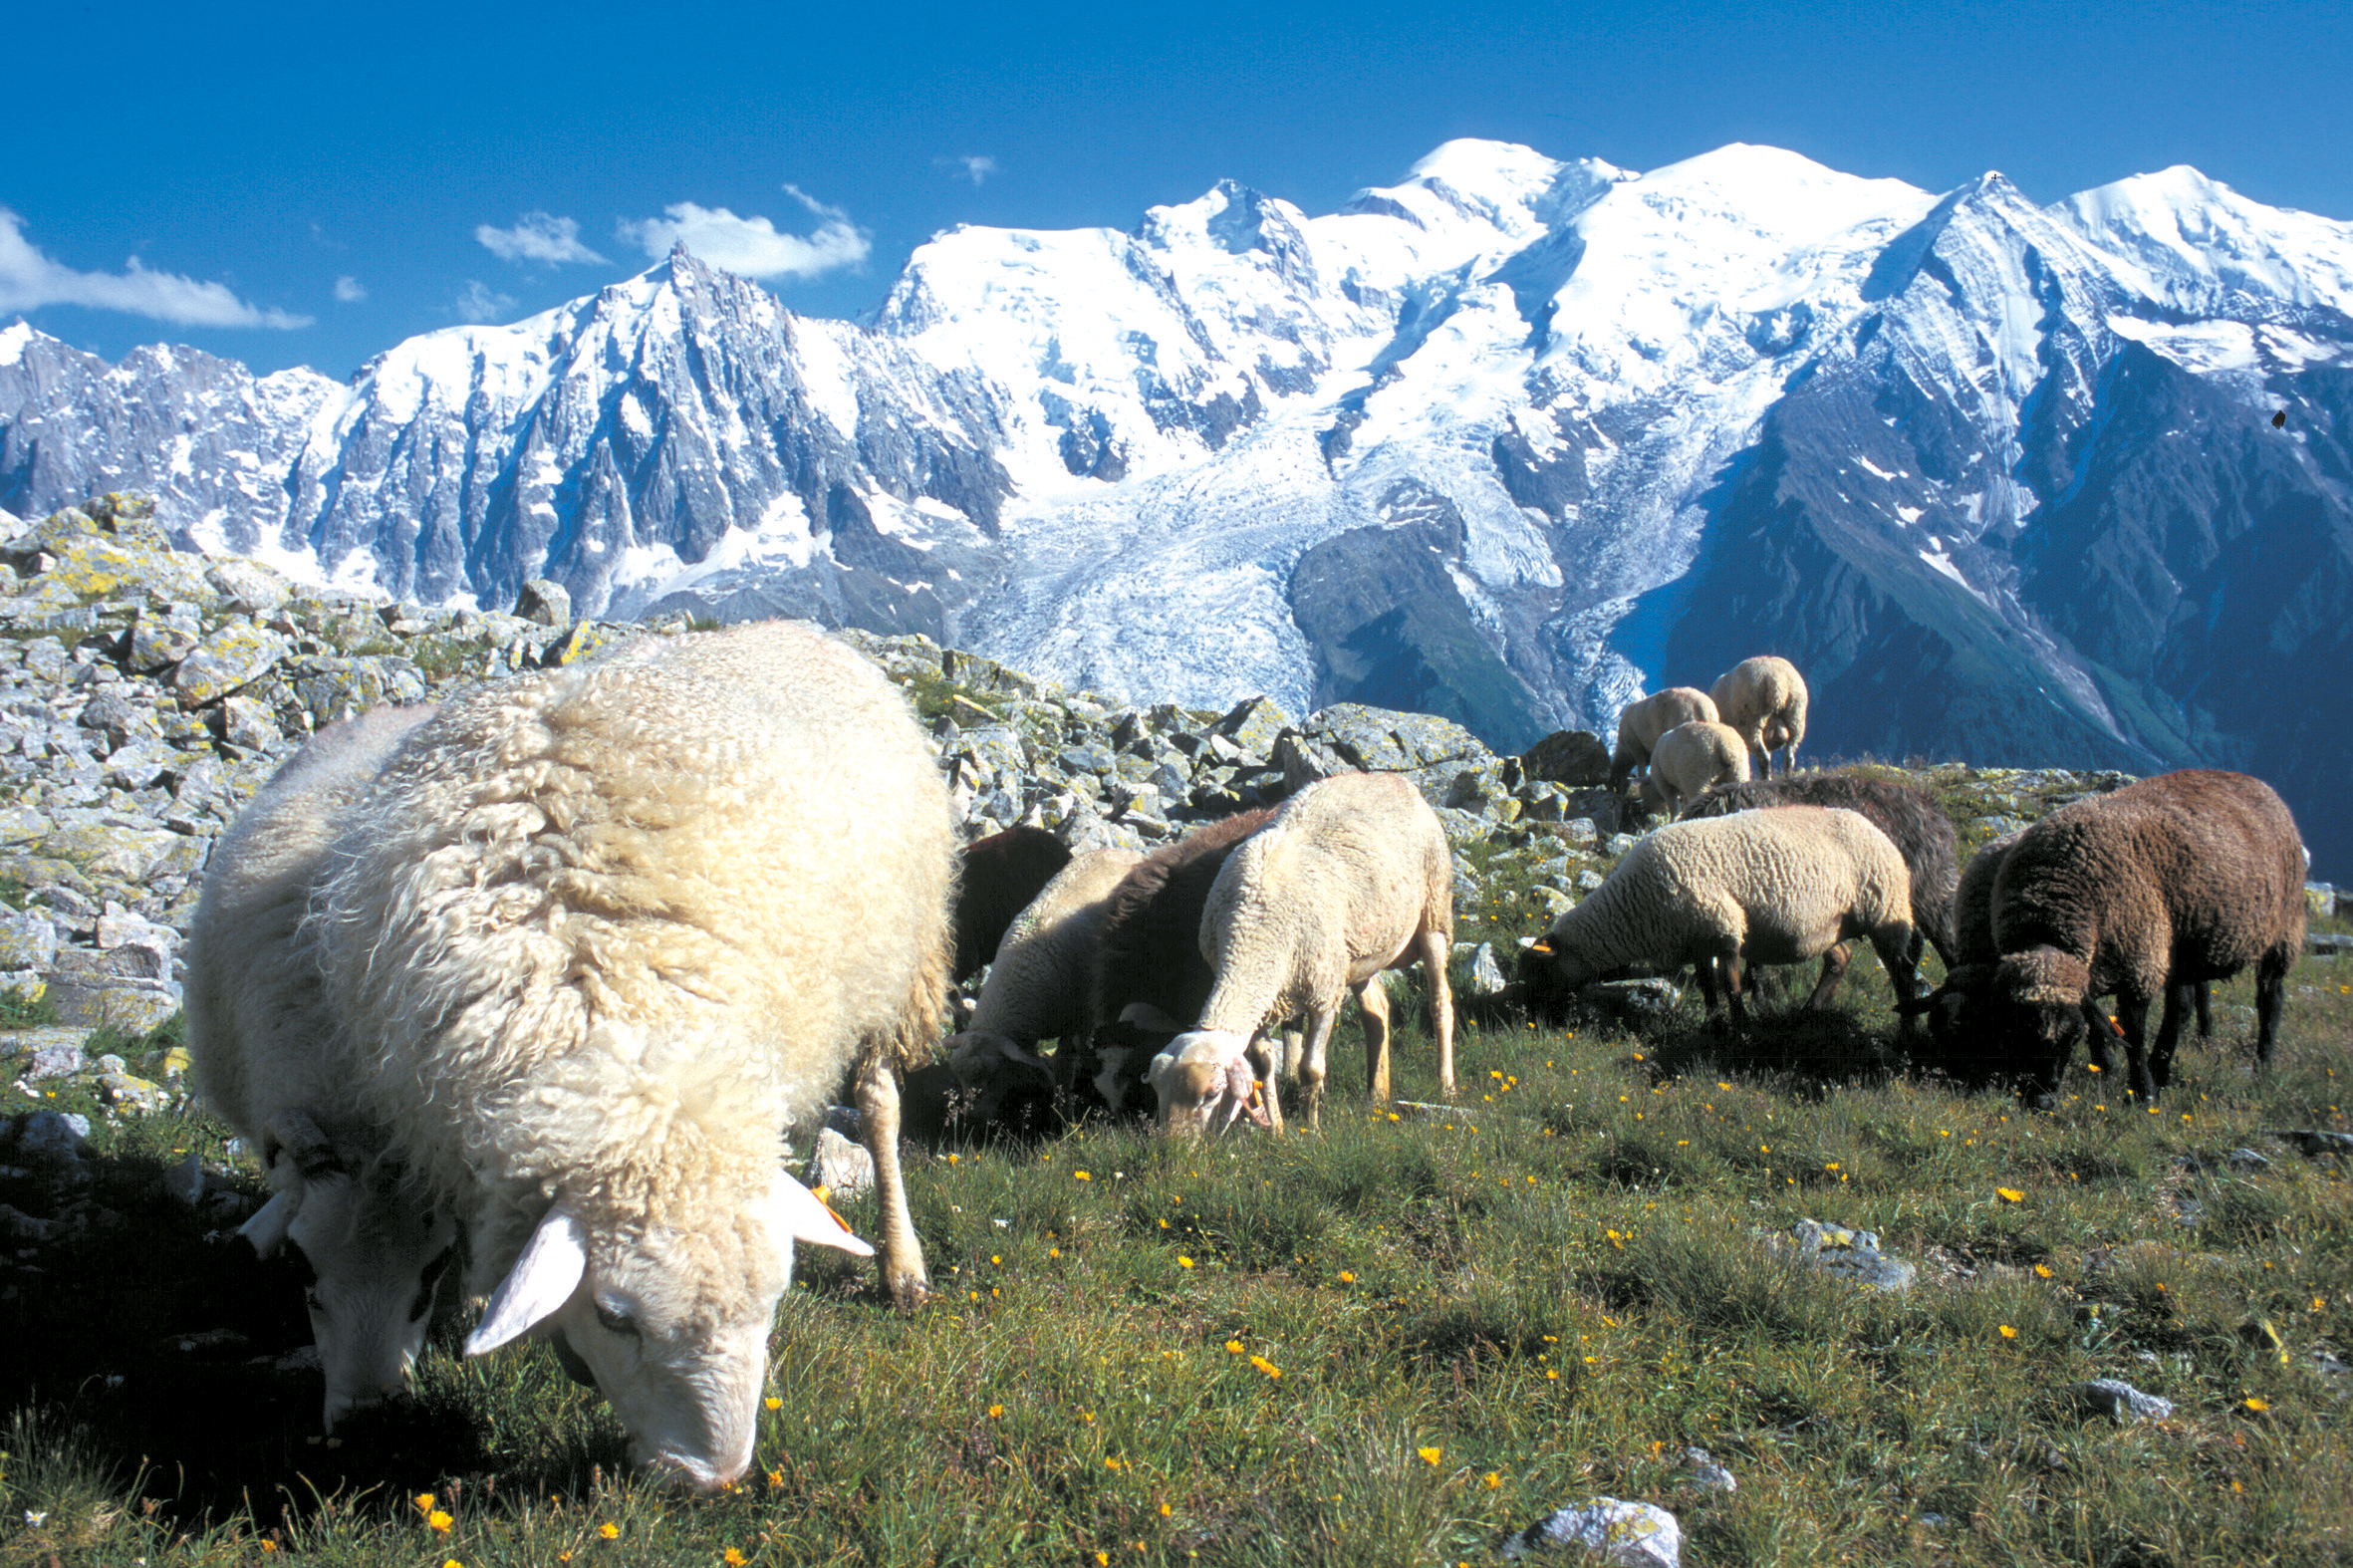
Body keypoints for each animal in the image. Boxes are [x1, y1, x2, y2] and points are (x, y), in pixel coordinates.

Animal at [309, 620, 954, 1489]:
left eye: (778, 1295)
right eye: (616, 1317)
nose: (709, 1479)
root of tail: (800, 629)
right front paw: (482, 1314)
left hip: (894, 964)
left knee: (881, 1105)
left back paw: (903, 1266)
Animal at [1148, 771, 1455, 1135]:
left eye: (1211, 1095)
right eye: (1158, 1092)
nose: (1173, 1144)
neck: (1251, 932)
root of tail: (1389, 778)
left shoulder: (1323, 993)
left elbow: (1311, 1069)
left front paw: (1313, 1131)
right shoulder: (1269, 997)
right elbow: (1264, 1065)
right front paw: (1277, 1130)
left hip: (1434, 911)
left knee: (1441, 1002)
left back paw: (1446, 1086)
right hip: (1357, 954)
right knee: (1376, 1010)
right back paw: (1377, 1096)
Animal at [1522, 806, 1917, 1029]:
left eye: (1540, 972)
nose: (1528, 1015)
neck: (1635, 906)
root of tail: (1876, 827)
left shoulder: (1723, 926)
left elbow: (1731, 984)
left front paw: (1740, 1026)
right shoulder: (1697, 938)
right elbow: (1707, 984)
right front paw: (1712, 1021)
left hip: (1886, 911)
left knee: (1902, 974)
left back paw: (1908, 1026)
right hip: (1827, 926)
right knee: (1840, 959)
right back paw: (1809, 1011)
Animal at [1912, 770, 2301, 1104]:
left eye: (2071, 1039)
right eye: (2016, 1031)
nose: (2042, 1102)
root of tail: (2256, 783)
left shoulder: (2140, 963)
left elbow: (2131, 1032)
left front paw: (2142, 1093)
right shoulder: (2094, 969)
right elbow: (2101, 1025)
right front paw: (2110, 1072)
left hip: (2283, 929)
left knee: (2270, 999)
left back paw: (2261, 1065)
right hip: (2184, 943)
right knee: (2184, 1002)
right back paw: (2169, 1062)